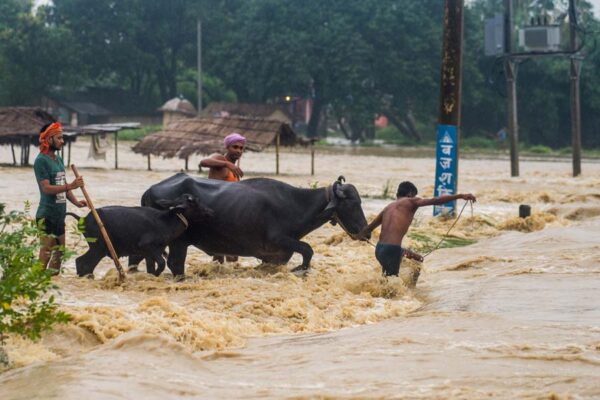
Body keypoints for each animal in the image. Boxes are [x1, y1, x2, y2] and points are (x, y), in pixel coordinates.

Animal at [70, 195, 213, 278]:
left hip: (98, 249)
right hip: (98, 248)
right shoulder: (148, 246)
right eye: (195, 203)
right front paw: (156, 274)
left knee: (82, 262)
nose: (210, 211)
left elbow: (152, 267)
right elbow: (162, 263)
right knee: (83, 262)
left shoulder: (150, 253)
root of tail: (82, 218)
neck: (165, 222)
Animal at [134, 173, 370, 276]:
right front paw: (299, 269)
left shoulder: (275, 255)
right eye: (352, 204)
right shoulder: (279, 240)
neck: (296, 203)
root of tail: (150, 190)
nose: (366, 233)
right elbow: (307, 250)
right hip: (178, 242)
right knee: (174, 263)